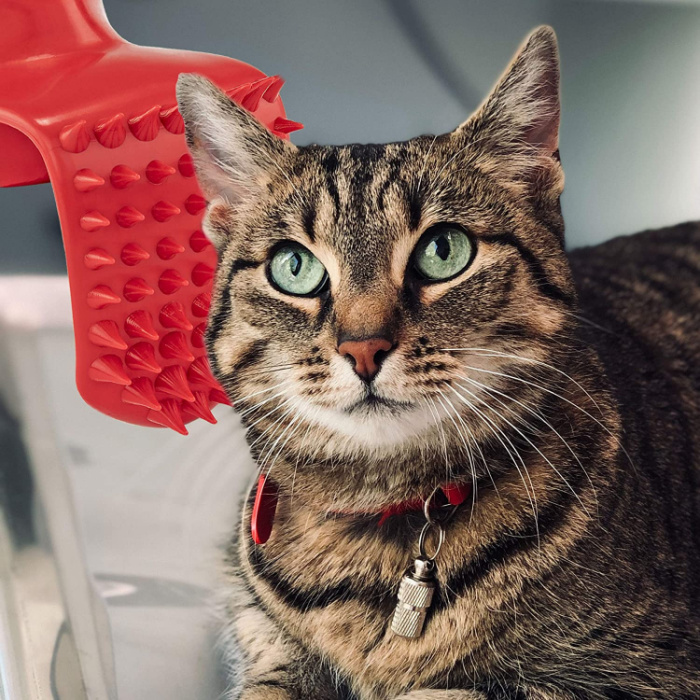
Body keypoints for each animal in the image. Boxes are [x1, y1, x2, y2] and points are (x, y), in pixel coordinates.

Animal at [176, 27, 700, 700]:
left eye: (443, 250)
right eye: (294, 267)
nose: (363, 348)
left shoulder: (648, 671)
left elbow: (439, 689)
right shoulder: (265, 642)